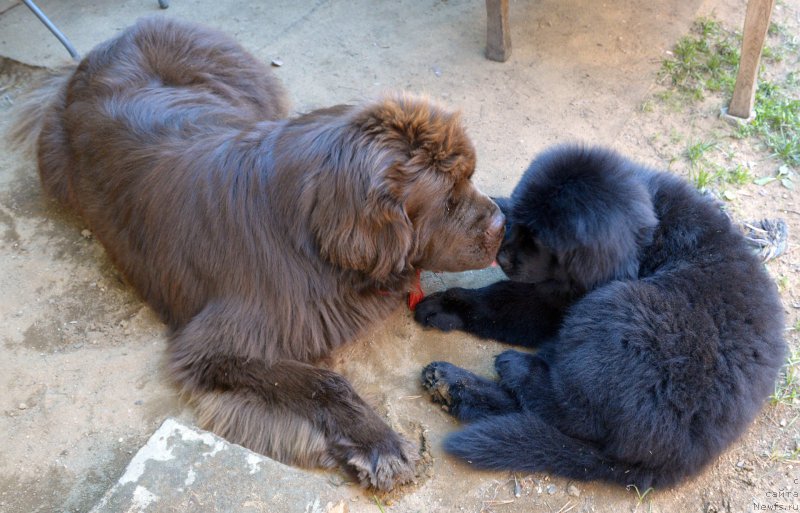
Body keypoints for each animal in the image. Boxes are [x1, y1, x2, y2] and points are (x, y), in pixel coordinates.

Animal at [10, 15, 506, 488]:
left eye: (470, 177)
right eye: (447, 199)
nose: (503, 224)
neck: (310, 237)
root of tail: (99, 50)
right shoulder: (216, 347)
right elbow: (324, 382)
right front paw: (380, 444)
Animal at [416, 144, 784, 488]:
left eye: (540, 243)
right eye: (518, 225)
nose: (503, 257)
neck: (650, 238)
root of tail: (679, 461)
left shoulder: (566, 298)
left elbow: (502, 300)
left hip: (618, 306)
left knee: (571, 415)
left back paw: (503, 372)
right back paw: (454, 388)